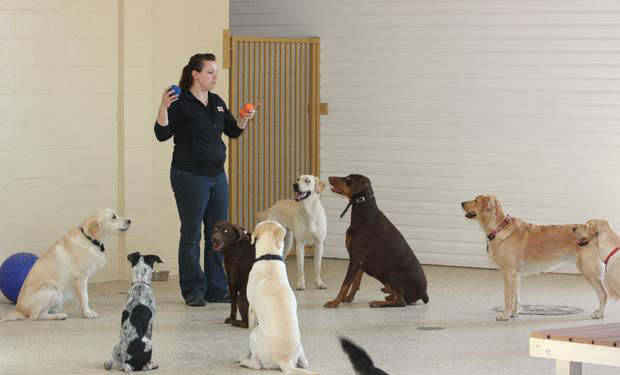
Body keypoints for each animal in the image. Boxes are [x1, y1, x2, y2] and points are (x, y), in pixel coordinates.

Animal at [1, 209, 131, 324]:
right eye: (113, 217)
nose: (129, 220)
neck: (88, 239)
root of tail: (19, 310)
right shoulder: (81, 278)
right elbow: (85, 297)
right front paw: (88, 313)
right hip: (52, 289)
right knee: (35, 316)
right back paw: (59, 316)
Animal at [239, 222, 314, 374]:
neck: (269, 257)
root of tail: (285, 360)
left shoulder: (251, 309)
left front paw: (244, 355)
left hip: (255, 334)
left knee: (256, 364)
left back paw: (245, 362)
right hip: (300, 346)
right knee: (305, 362)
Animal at [460, 195, 604, 322]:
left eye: (475, 200)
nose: (461, 203)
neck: (499, 227)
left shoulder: (508, 273)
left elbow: (508, 298)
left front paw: (505, 315)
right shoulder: (516, 275)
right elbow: (516, 297)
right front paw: (514, 314)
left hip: (588, 269)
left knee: (603, 293)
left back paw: (600, 314)